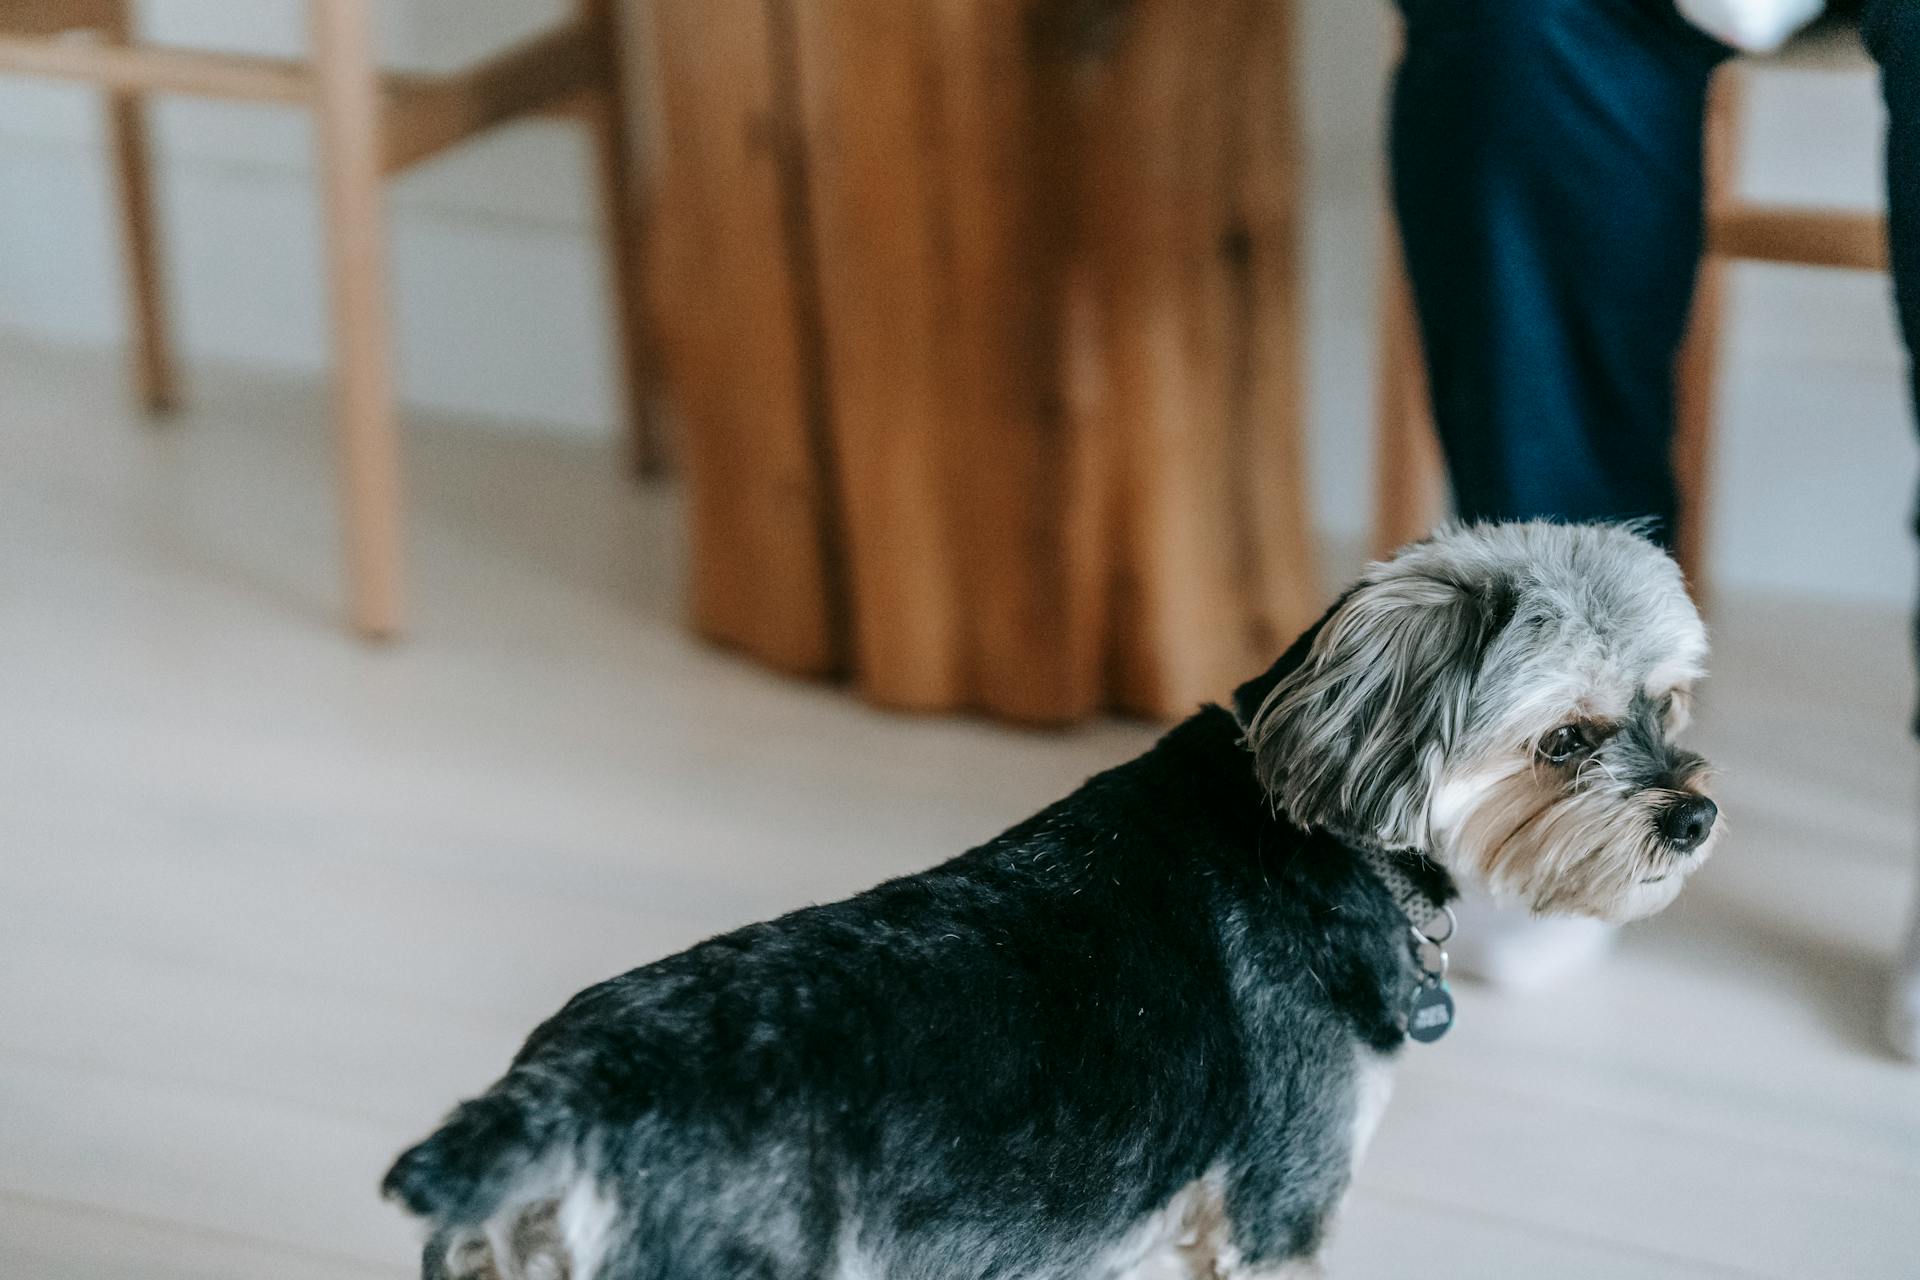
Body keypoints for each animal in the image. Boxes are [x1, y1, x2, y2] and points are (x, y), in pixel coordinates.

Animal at [385, 521, 1728, 1280]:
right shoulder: (1279, 1207)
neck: (1326, 828)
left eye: (1669, 702)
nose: (1693, 817)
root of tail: (561, 1096)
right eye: (1564, 740)